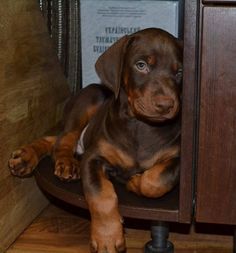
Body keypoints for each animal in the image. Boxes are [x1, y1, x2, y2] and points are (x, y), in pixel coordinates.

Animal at [8, 28, 183, 253]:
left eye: (179, 73)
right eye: (141, 65)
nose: (166, 105)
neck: (142, 125)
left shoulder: (178, 158)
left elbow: (157, 180)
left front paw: (136, 182)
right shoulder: (93, 158)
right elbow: (101, 196)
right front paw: (107, 237)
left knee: (55, 139)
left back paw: (26, 157)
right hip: (88, 100)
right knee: (63, 139)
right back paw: (61, 162)